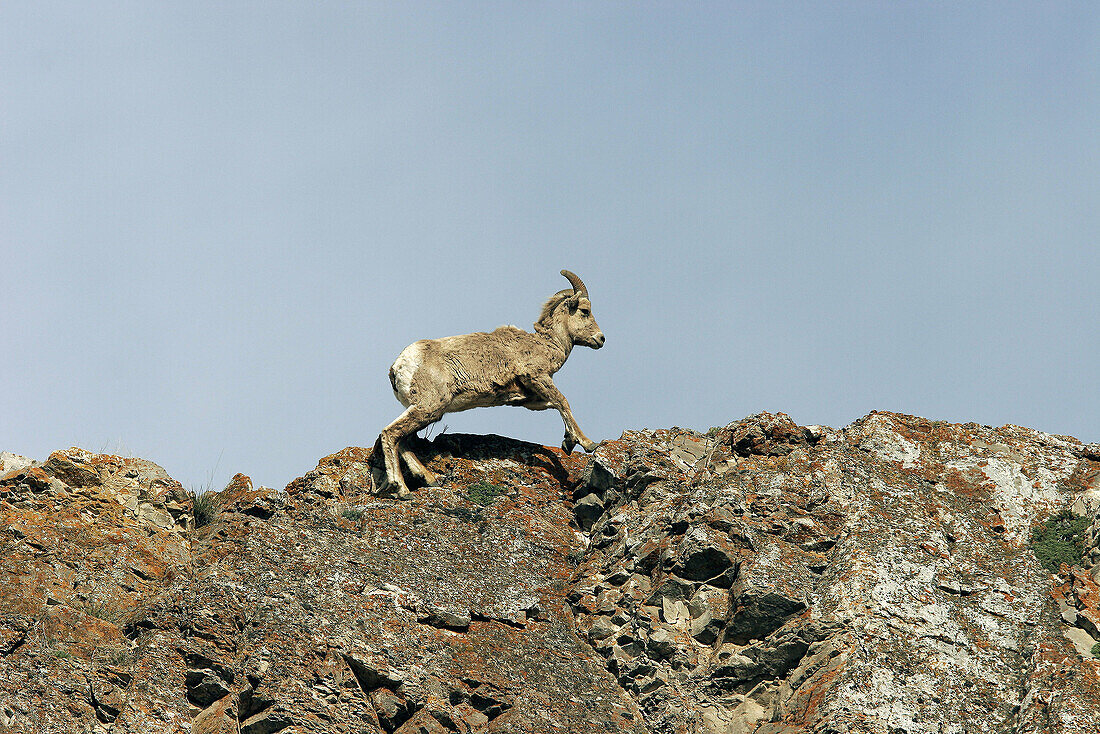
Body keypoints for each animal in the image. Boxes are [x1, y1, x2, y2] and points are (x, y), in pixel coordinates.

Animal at [376, 269, 602, 493]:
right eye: (584, 311)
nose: (601, 339)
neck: (545, 344)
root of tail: (398, 366)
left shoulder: (529, 398)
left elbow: (554, 404)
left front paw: (568, 442)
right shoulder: (537, 376)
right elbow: (562, 401)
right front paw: (588, 444)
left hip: (423, 411)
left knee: (403, 441)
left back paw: (429, 480)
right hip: (429, 407)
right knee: (390, 433)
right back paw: (402, 490)